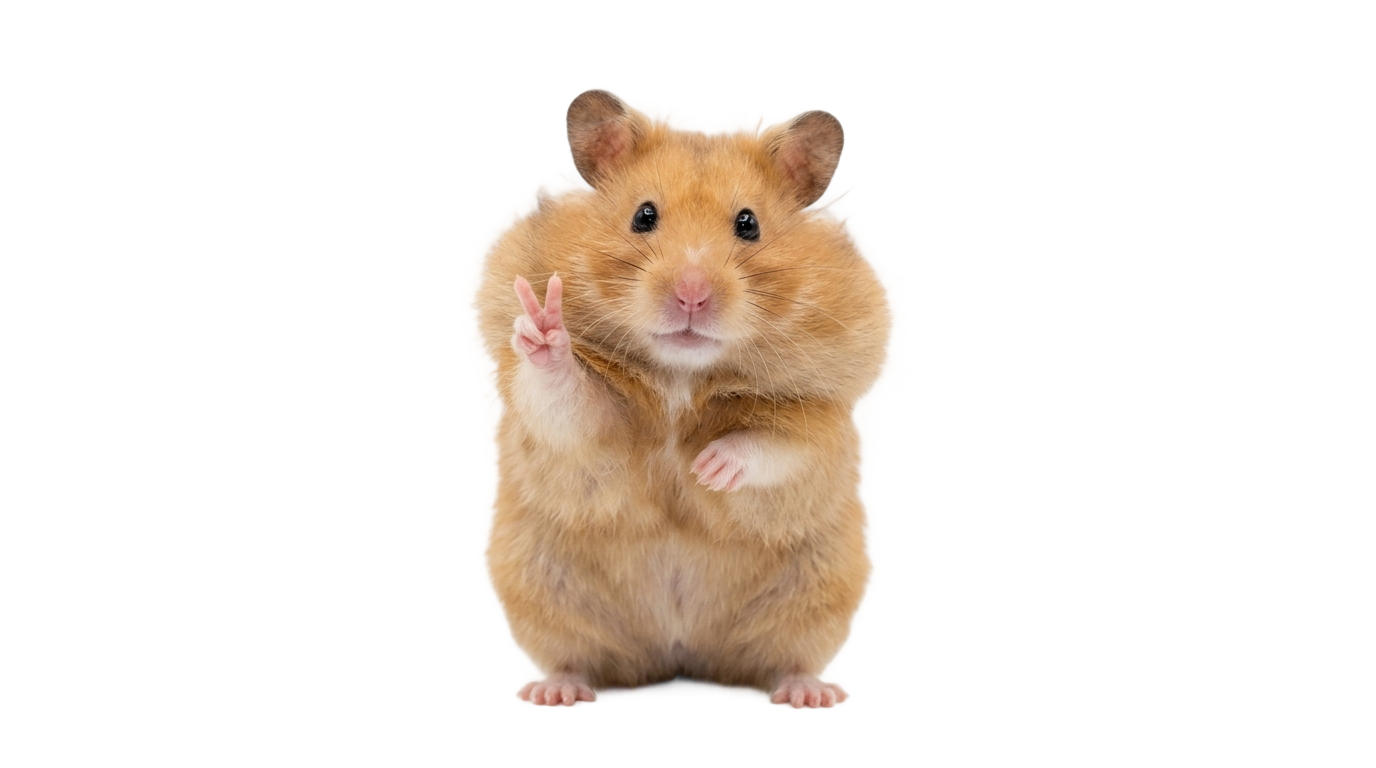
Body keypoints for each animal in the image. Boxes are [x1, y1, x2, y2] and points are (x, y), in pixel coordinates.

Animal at [476, 90, 887, 707]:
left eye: (749, 224)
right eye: (643, 215)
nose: (692, 295)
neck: (681, 377)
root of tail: (679, 655)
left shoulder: (821, 417)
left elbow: (777, 446)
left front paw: (706, 468)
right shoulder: (594, 424)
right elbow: (570, 403)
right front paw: (544, 327)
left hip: (816, 596)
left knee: (786, 662)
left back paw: (811, 698)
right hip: (541, 589)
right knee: (576, 659)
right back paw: (557, 697)